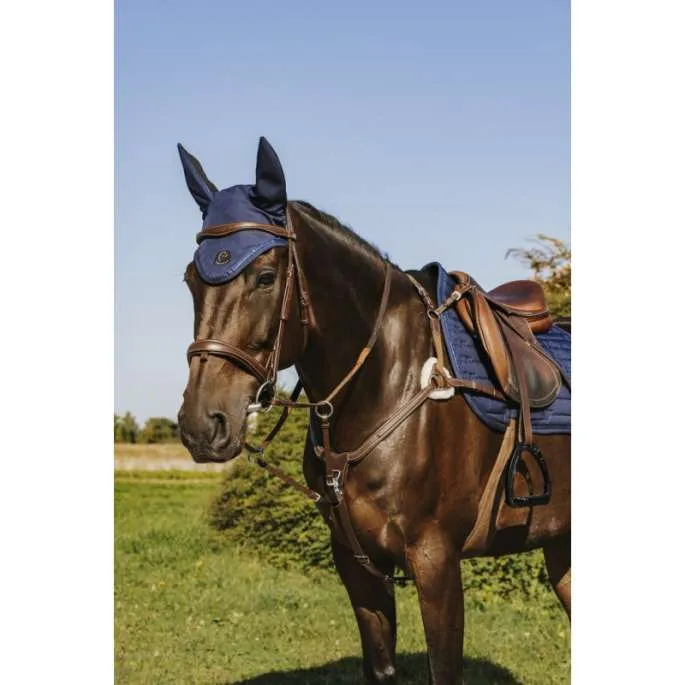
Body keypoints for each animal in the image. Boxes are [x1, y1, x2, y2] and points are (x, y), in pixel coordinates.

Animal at [176, 137, 571, 684]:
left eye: (265, 277)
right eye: (191, 279)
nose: (202, 423)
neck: (388, 384)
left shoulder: (435, 561)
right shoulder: (357, 564)